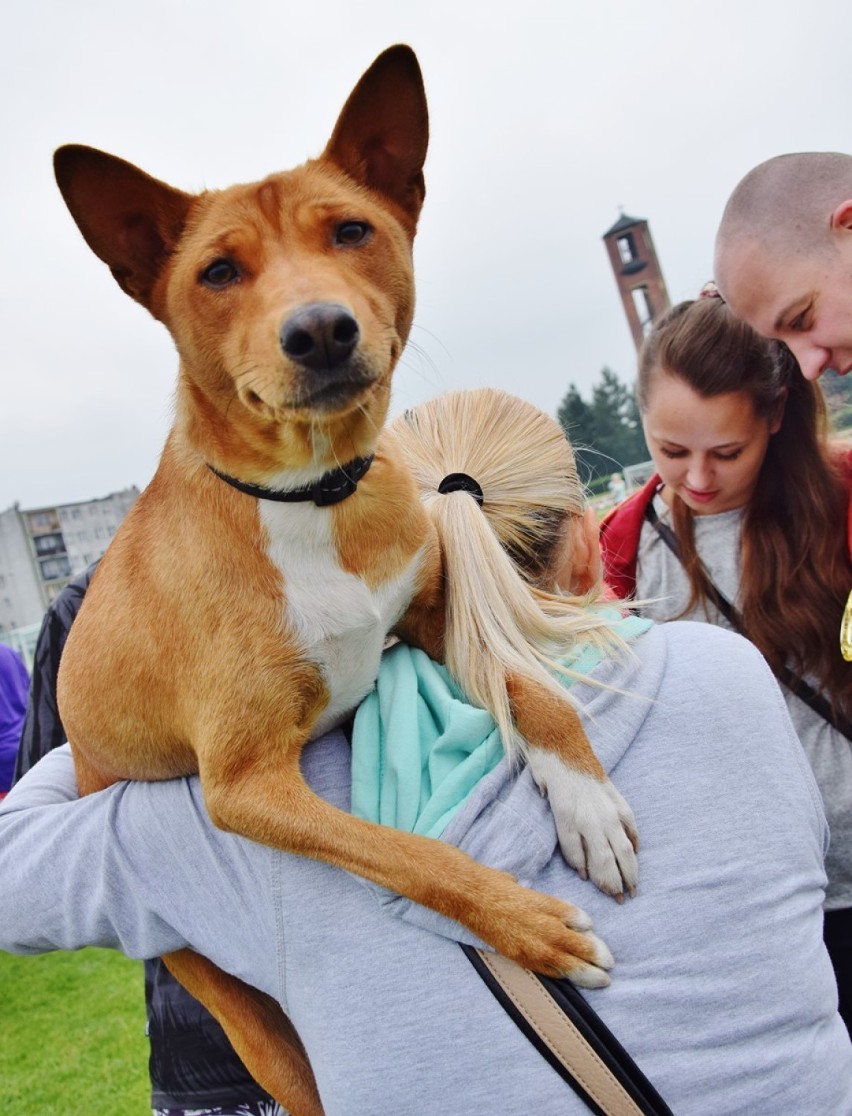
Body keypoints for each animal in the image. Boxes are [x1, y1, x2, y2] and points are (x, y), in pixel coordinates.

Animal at [51, 45, 625, 1116]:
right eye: (218, 272)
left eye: (352, 231)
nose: (318, 330)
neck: (308, 499)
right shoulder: (245, 785)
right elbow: (409, 852)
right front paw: (523, 923)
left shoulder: (429, 615)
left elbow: (528, 682)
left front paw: (588, 802)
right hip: (246, 1022)